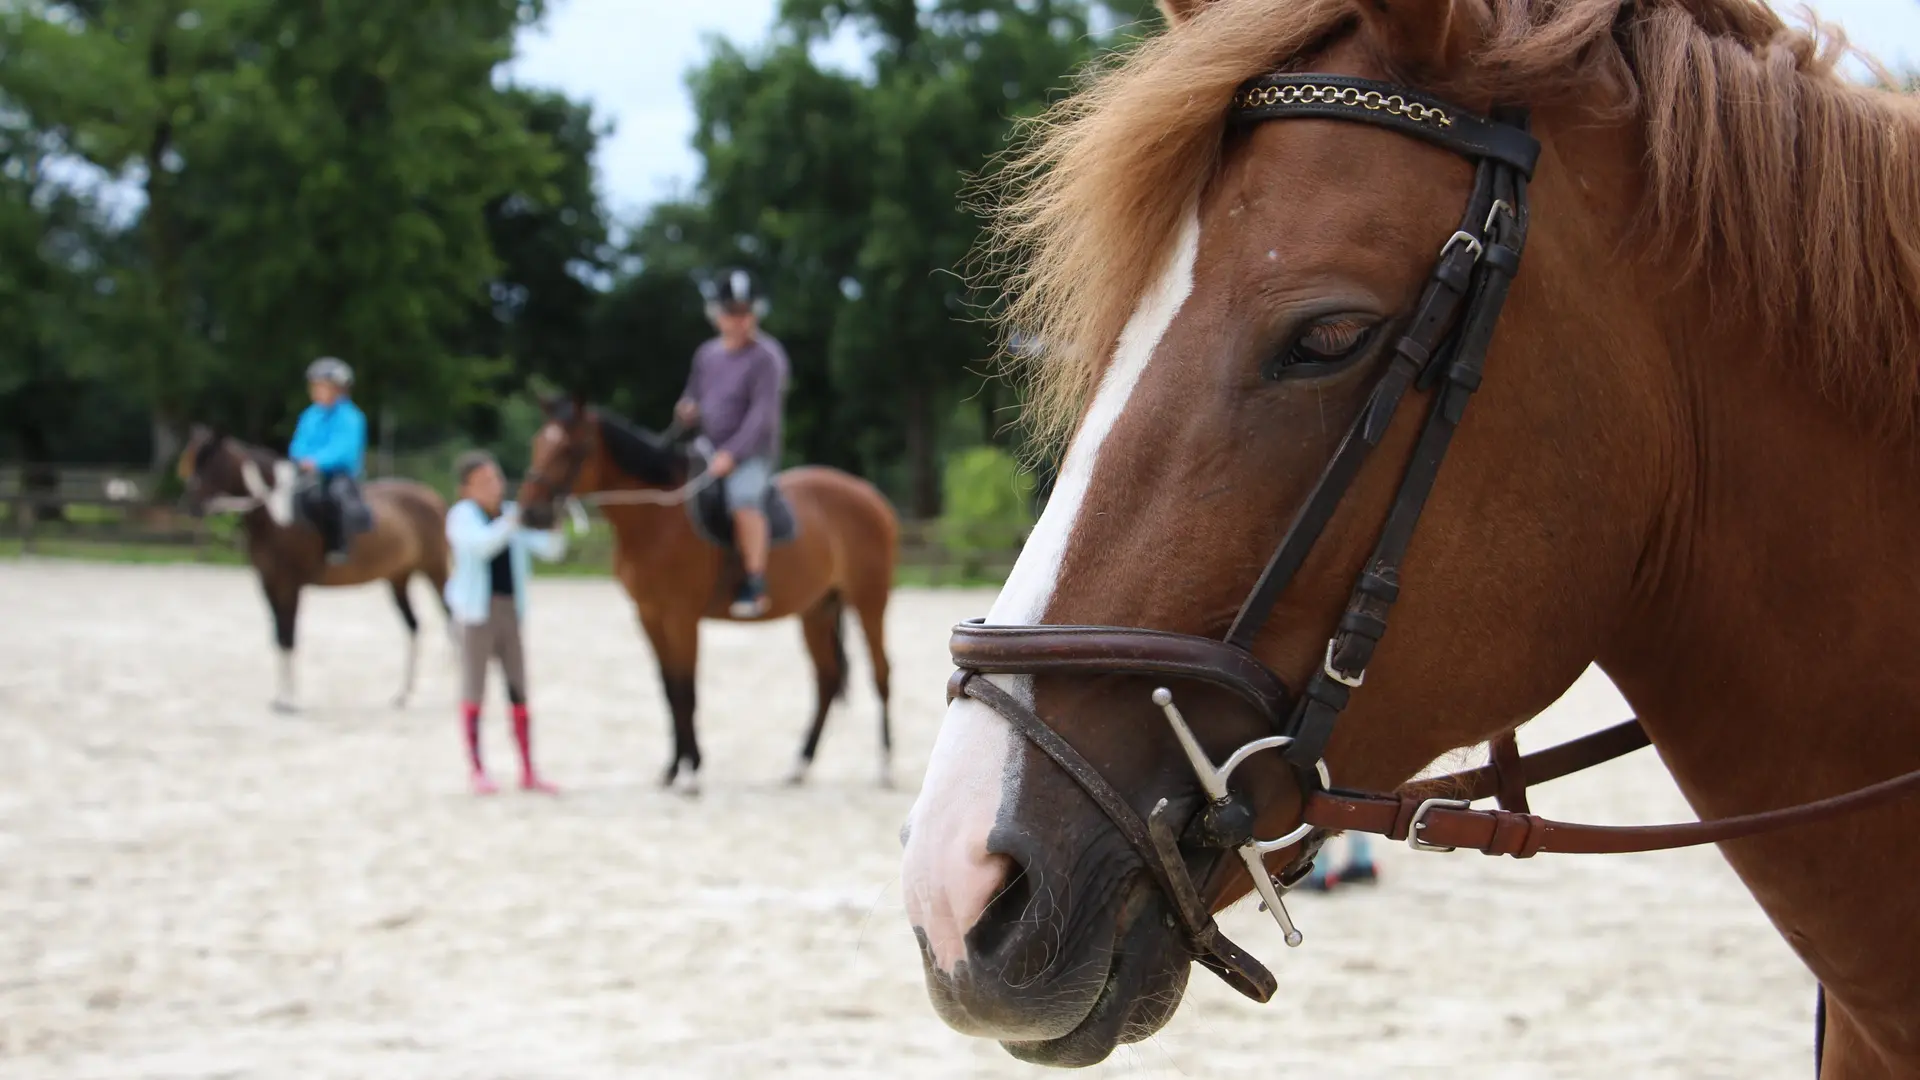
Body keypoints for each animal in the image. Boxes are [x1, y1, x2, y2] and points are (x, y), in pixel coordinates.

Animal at [178, 424, 451, 711]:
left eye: (211, 464)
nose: (188, 506)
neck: (277, 516)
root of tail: (433, 498)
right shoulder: (268, 585)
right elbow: (278, 638)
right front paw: (280, 698)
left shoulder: (289, 586)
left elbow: (289, 637)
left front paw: (289, 700)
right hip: (398, 579)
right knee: (413, 627)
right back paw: (403, 695)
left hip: (435, 572)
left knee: (452, 619)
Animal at [510, 395, 898, 791]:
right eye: (538, 444)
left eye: (571, 449)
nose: (530, 513)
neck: (657, 518)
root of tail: (869, 496)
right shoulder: (649, 615)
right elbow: (669, 690)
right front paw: (672, 769)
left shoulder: (682, 617)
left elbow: (687, 690)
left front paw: (691, 771)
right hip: (816, 611)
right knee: (827, 680)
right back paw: (799, 765)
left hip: (870, 601)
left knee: (881, 673)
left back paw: (884, 767)